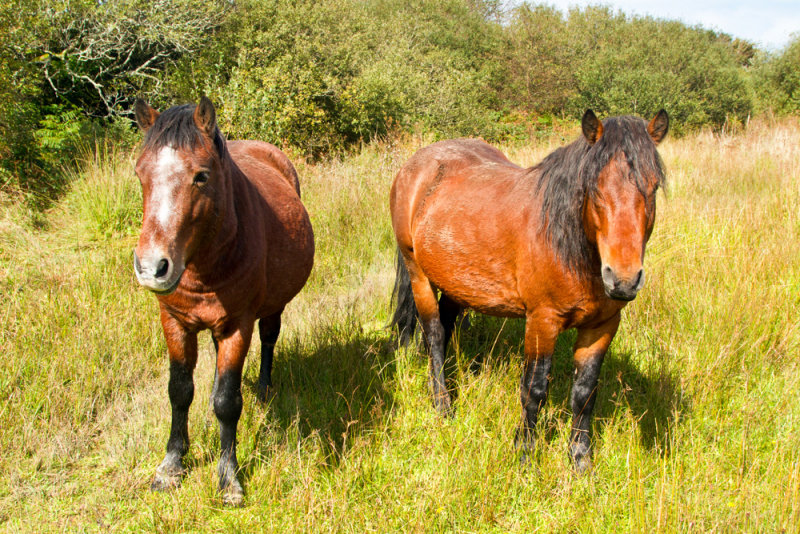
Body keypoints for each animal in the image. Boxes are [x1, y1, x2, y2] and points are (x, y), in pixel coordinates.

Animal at [131, 97, 312, 506]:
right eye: (140, 173)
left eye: (201, 176)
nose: (152, 268)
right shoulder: (175, 323)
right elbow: (180, 392)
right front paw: (171, 465)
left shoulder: (235, 326)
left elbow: (227, 402)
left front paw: (228, 478)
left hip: (272, 309)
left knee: (269, 338)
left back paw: (263, 388)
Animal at [390, 111, 664, 472]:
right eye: (594, 188)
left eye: (653, 187)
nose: (623, 280)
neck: (567, 244)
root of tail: (415, 164)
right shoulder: (541, 321)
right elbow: (533, 389)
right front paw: (524, 454)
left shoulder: (603, 326)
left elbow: (585, 391)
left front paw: (580, 460)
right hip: (418, 274)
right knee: (433, 335)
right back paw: (443, 406)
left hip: (455, 283)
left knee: (445, 330)